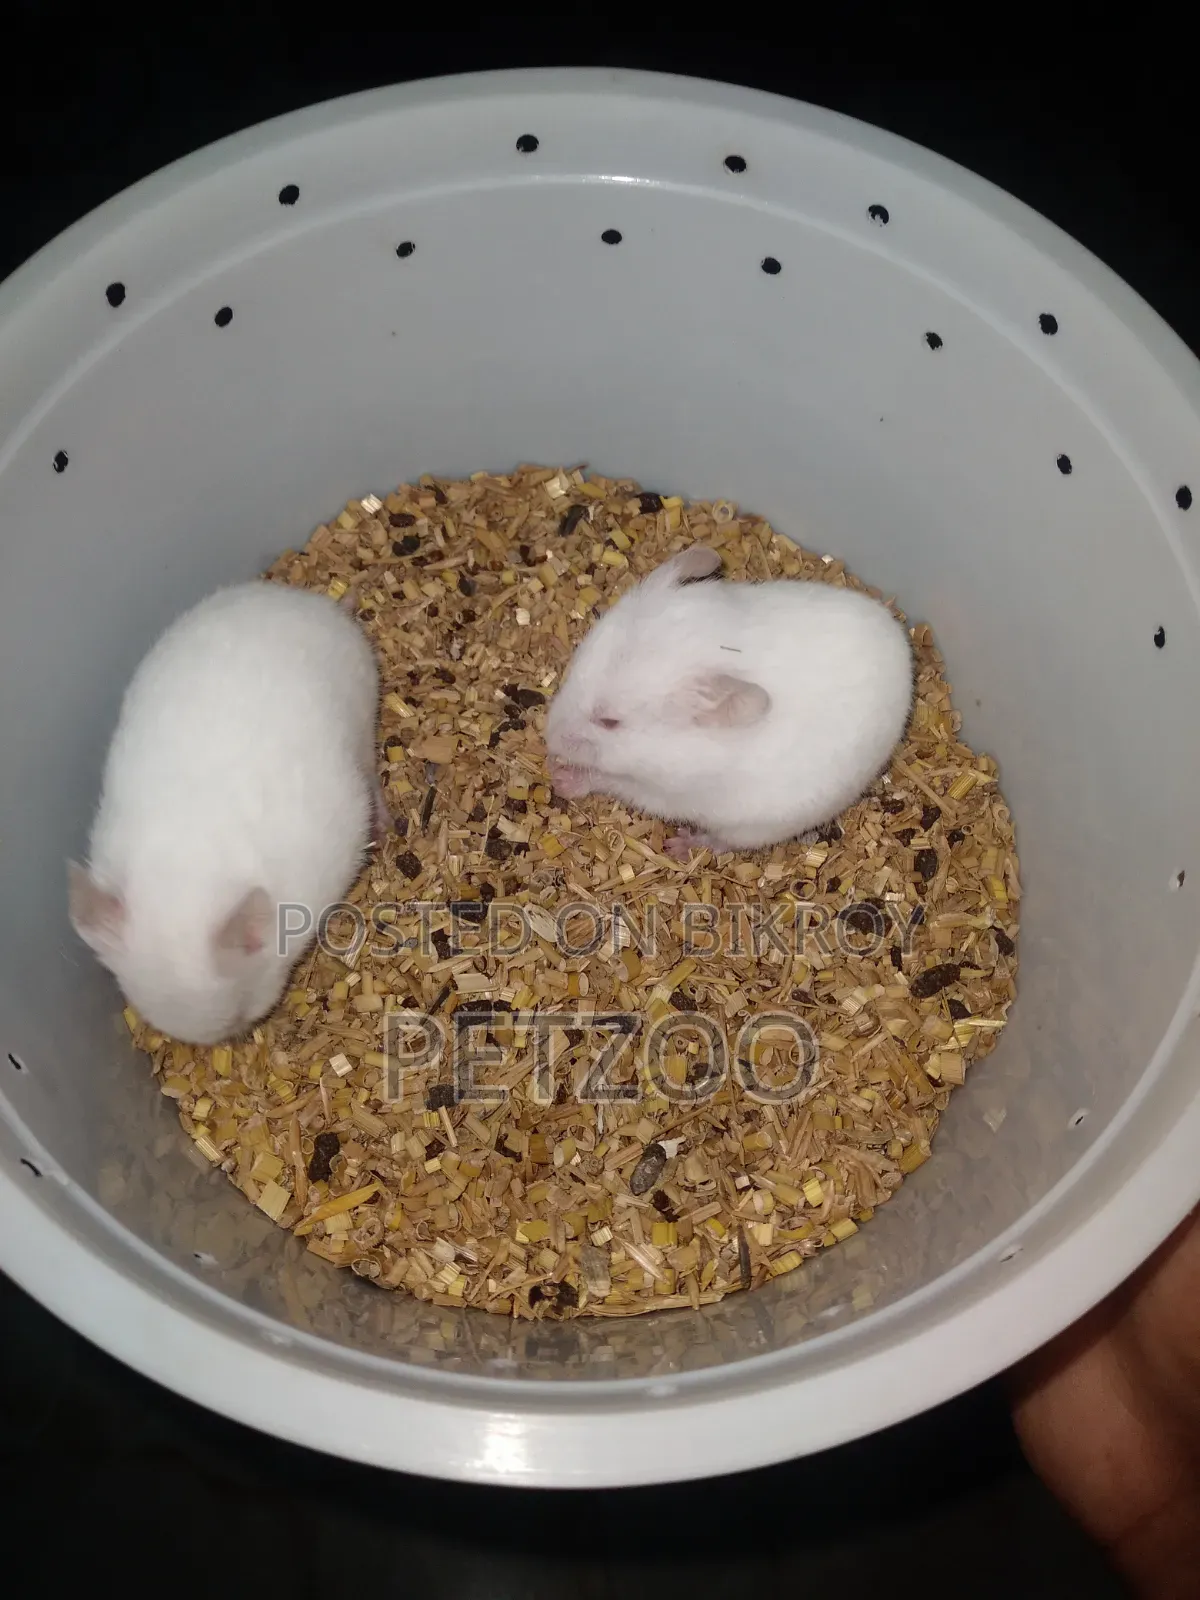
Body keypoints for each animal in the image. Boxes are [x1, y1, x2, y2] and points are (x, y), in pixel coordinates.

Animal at [543, 544, 914, 859]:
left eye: (610, 722)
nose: (547, 739)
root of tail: (902, 647)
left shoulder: (660, 792)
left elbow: (608, 780)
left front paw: (561, 779)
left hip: (755, 828)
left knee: (722, 842)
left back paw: (681, 845)